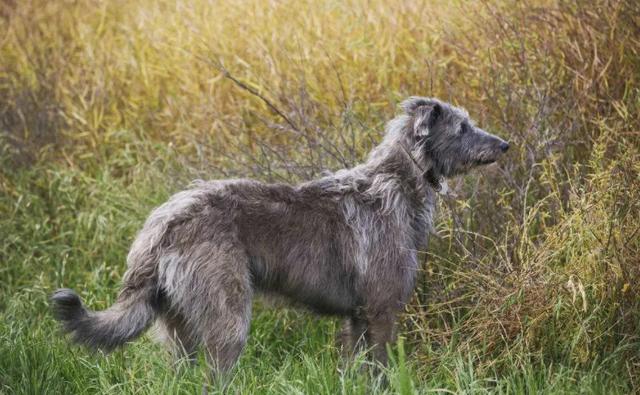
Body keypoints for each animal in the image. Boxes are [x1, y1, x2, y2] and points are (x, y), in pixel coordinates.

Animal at [51, 96, 510, 378]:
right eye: (462, 126)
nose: (505, 145)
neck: (396, 181)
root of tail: (162, 223)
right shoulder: (381, 310)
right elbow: (380, 369)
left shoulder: (356, 317)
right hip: (227, 317)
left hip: (178, 326)